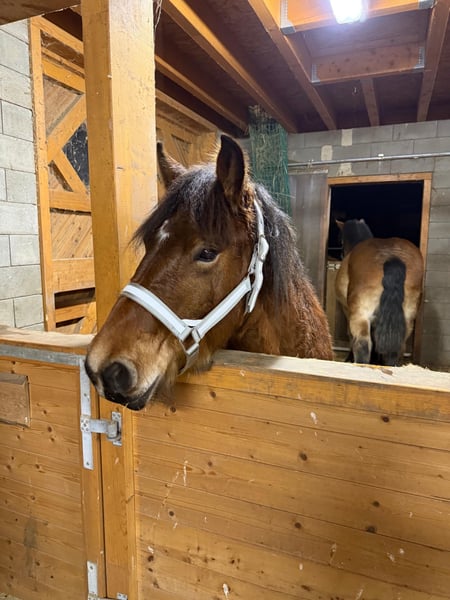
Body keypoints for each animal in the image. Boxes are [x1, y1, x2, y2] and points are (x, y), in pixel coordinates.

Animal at [335, 218, 424, 367]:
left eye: (341, 241)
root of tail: (392, 259)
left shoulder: (348, 311)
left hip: (360, 315)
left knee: (362, 345)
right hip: (407, 320)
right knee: (396, 350)